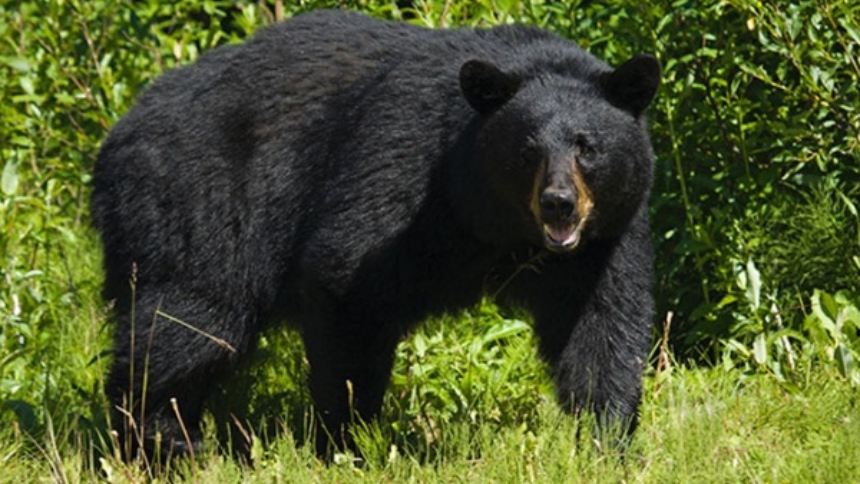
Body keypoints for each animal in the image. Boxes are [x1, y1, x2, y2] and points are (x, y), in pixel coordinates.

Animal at [91, 9, 660, 459]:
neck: (496, 224)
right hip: (198, 205)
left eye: (587, 147)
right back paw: (160, 441)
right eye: (526, 151)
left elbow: (600, 328)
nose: (558, 202)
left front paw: (608, 441)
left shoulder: (601, 242)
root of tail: (120, 130)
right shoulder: (404, 171)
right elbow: (348, 280)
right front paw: (346, 439)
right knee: (185, 325)